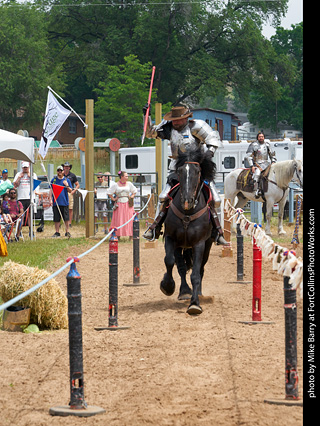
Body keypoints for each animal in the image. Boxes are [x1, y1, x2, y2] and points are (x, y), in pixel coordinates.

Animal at [161, 148, 216, 314]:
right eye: (180, 171)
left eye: (197, 171)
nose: (187, 200)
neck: (187, 213)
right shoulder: (170, 238)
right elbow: (170, 261)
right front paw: (167, 285)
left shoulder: (199, 244)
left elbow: (196, 274)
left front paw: (195, 303)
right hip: (180, 246)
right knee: (181, 266)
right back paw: (184, 291)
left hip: (207, 246)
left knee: (201, 269)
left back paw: (197, 293)